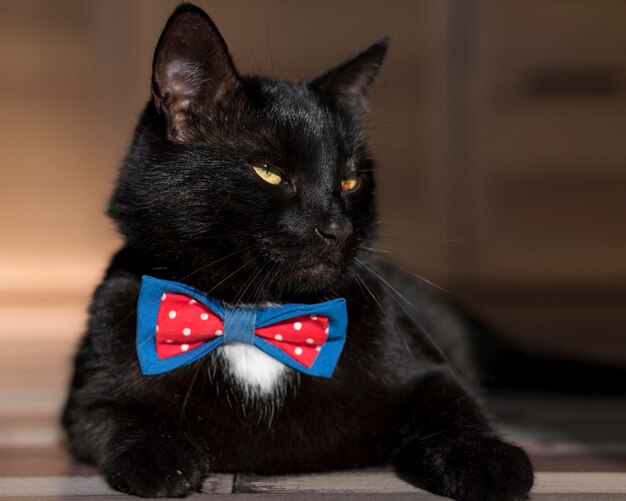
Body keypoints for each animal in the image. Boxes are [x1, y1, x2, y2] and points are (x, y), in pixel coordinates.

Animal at [62, 4, 532, 500]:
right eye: (269, 170)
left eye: (350, 180)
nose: (337, 228)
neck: (253, 313)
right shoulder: (87, 397)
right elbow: (116, 418)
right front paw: (161, 458)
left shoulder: (428, 370)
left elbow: (456, 404)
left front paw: (488, 459)